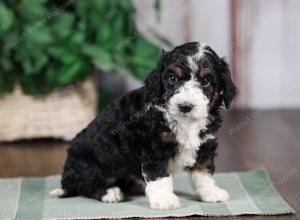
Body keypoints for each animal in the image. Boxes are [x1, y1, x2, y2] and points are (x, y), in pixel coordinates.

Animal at [49, 41, 237, 210]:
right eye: (172, 78)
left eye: (206, 81)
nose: (185, 106)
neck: (185, 122)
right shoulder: (154, 147)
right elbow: (160, 175)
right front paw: (164, 199)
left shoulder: (205, 143)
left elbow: (203, 170)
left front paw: (210, 192)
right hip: (91, 164)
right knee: (87, 185)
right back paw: (110, 192)